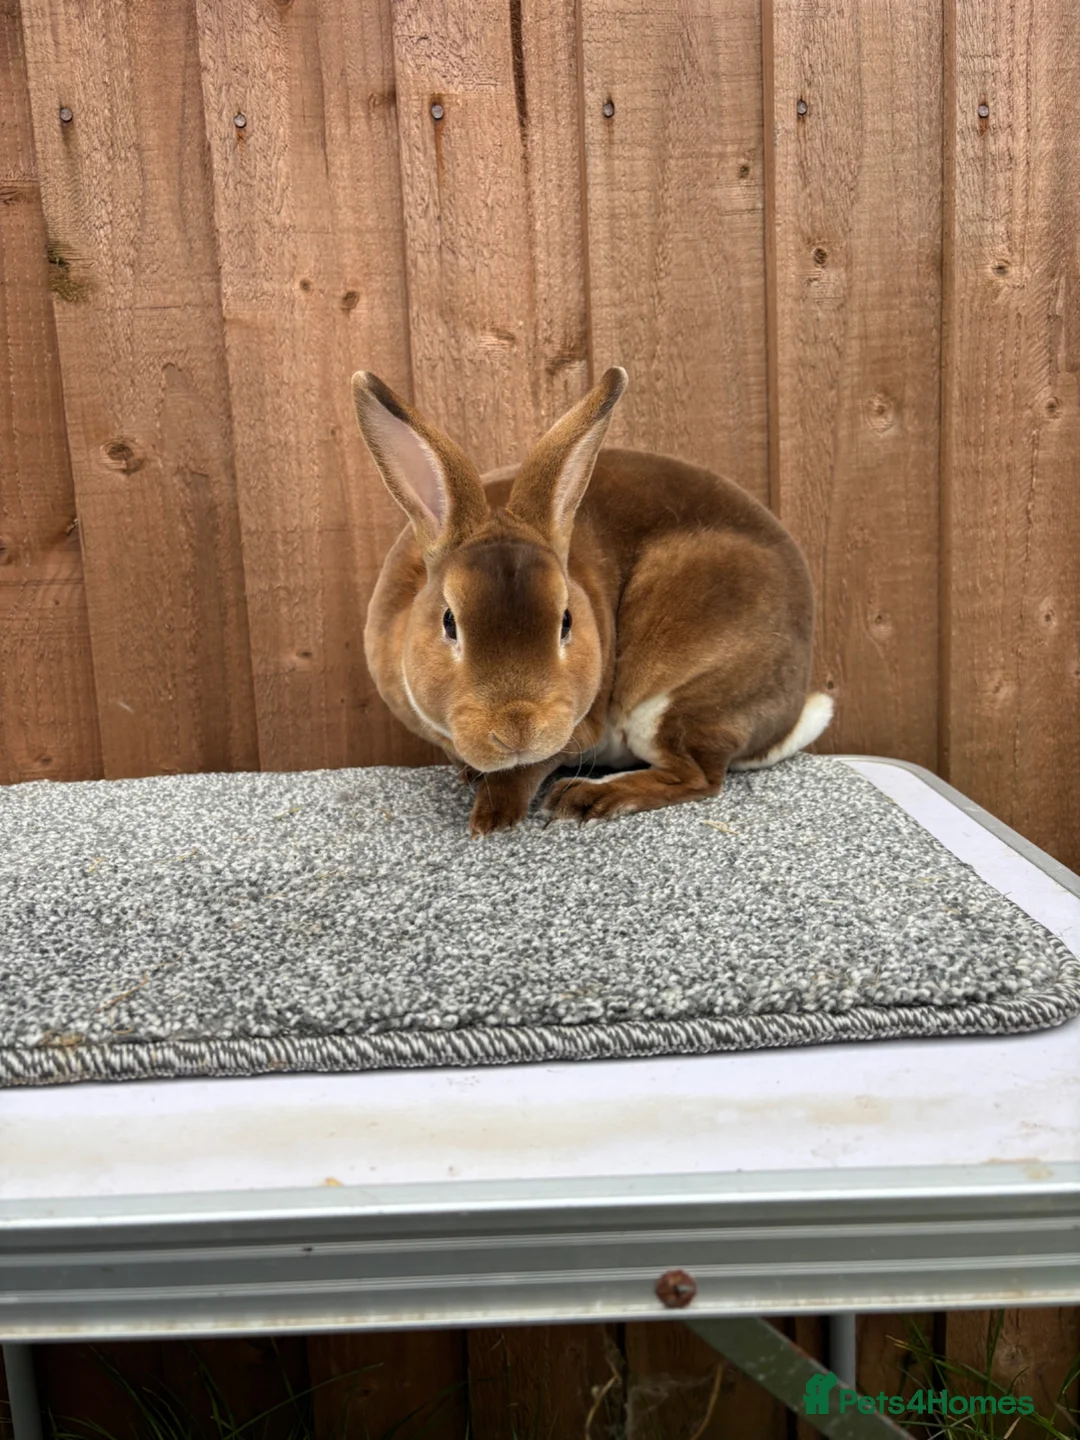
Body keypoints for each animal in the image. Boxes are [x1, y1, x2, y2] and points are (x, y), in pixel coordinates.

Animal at [352, 365, 833, 837]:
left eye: (566, 621)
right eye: (449, 622)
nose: (518, 729)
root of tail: (787, 717)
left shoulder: (576, 727)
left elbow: (526, 771)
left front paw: (493, 817)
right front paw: (474, 780)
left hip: (677, 697)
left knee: (696, 775)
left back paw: (586, 797)